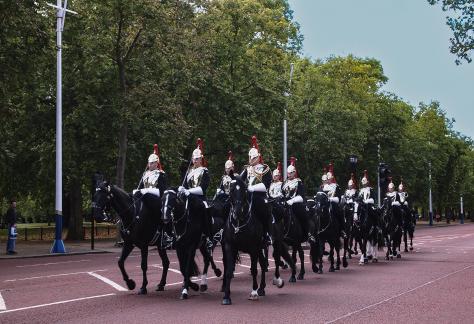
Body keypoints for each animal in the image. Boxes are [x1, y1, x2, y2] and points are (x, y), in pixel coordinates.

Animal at [221, 177, 276, 306]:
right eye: (231, 189)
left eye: (244, 190)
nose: (237, 211)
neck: (239, 223)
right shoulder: (230, 247)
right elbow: (229, 271)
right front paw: (226, 296)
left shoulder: (253, 248)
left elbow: (255, 269)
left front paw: (254, 292)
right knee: (262, 264)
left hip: (261, 247)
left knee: (262, 265)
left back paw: (260, 289)